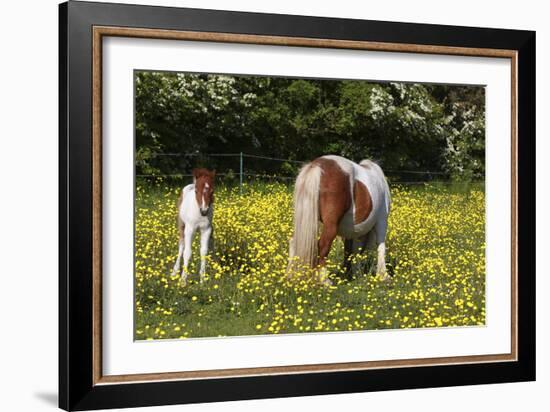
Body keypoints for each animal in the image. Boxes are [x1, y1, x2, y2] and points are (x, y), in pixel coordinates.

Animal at [288, 154, 392, 284]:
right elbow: (380, 246)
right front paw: (383, 275)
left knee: (294, 242)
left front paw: (352, 273)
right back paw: (324, 280)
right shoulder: (382, 221)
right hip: (331, 225)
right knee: (323, 244)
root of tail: (317, 165)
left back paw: (291, 275)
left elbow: (352, 250)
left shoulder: (354, 230)